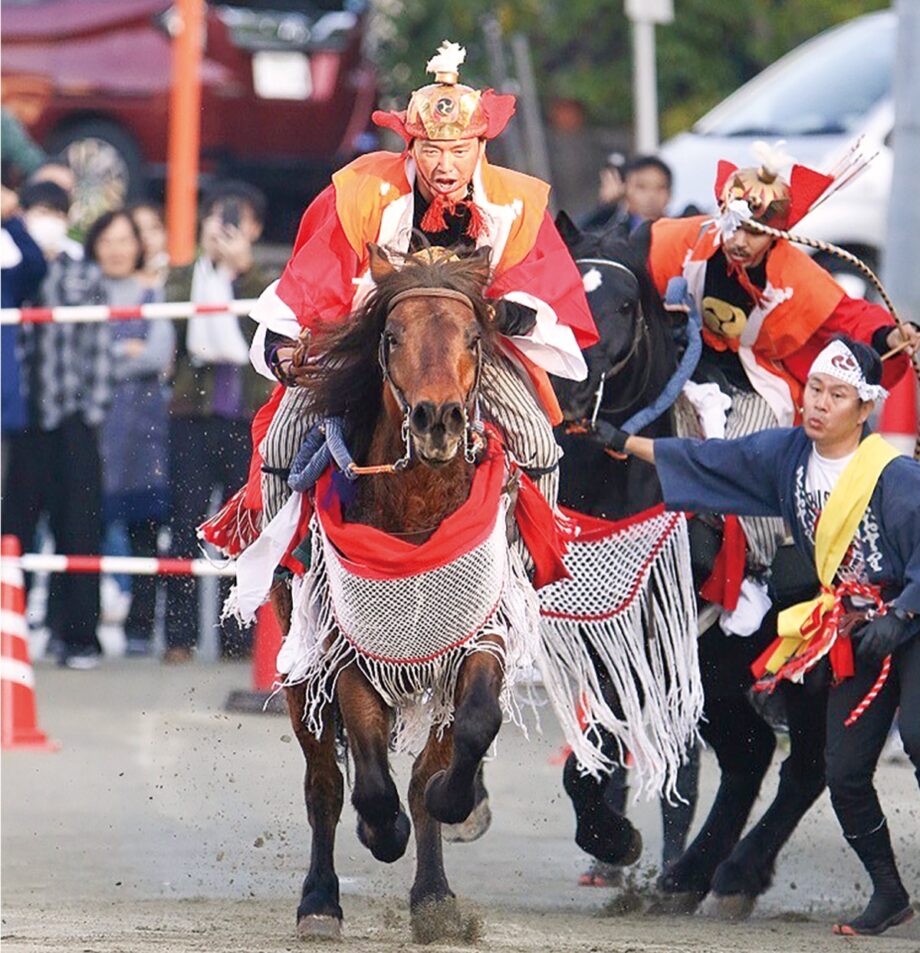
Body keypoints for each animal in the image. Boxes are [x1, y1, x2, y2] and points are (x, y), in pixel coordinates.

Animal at [276, 242, 512, 940]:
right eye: (391, 336)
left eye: (473, 336)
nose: (438, 420)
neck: (415, 515)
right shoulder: (345, 652)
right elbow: (368, 781)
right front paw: (379, 832)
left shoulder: (474, 638)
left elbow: (471, 729)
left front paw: (451, 806)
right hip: (298, 659)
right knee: (324, 781)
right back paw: (320, 898)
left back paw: (433, 893)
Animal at [552, 216, 828, 916]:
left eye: (626, 304)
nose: (569, 387)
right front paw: (609, 834)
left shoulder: (646, 640)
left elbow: (601, 746)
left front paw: (613, 837)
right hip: (723, 667)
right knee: (751, 754)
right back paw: (691, 875)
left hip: (810, 661)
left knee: (804, 767)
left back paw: (736, 873)